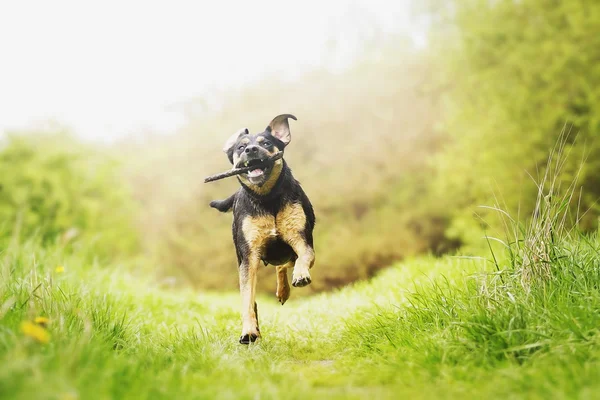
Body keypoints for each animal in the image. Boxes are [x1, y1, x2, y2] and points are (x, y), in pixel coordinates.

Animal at [210, 113, 316, 344]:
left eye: (266, 143)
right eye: (241, 147)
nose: (251, 150)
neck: (267, 198)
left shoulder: (300, 238)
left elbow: (304, 255)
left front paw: (300, 276)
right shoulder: (248, 257)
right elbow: (247, 300)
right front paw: (249, 330)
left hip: (287, 250)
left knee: (284, 265)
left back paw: (284, 290)